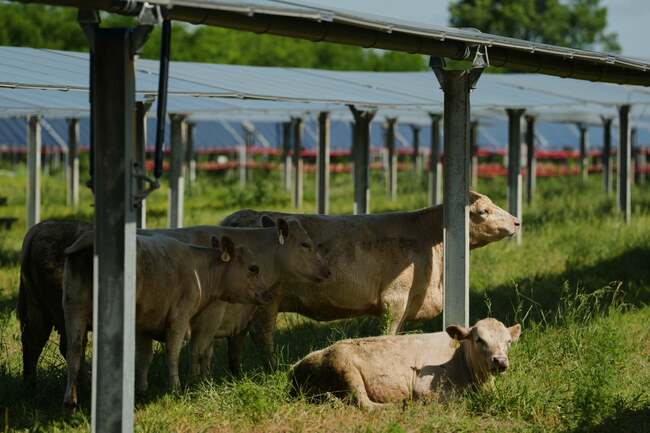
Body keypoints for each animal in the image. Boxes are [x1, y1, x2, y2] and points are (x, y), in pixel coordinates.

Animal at [62, 231, 272, 407]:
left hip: (74, 309)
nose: (268, 294)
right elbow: (177, 353)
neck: (199, 271)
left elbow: (144, 357)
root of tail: (89, 239)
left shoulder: (143, 327)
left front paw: (142, 389)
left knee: (74, 351)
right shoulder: (179, 317)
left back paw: (70, 400)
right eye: (253, 268)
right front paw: (180, 386)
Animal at [220, 191, 519, 367]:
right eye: (483, 211)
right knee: (262, 334)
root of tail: (236, 217)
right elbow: (388, 333)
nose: (517, 222)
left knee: (237, 337)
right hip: (267, 301)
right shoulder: (394, 299)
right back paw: (272, 369)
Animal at [290, 318, 521, 410]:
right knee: (365, 404)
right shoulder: (426, 388)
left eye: (508, 342)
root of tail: (297, 365)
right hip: (345, 367)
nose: (500, 361)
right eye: (479, 339)